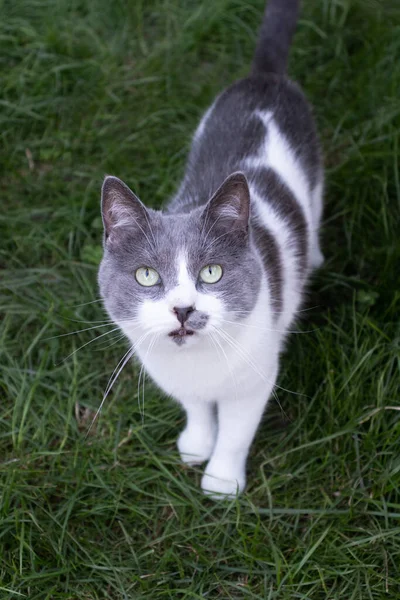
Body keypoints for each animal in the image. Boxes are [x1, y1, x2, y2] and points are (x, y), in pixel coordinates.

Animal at [98, 0, 324, 496]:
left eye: (211, 273)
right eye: (147, 275)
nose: (183, 308)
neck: (197, 363)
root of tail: (263, 79)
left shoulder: (256, 379)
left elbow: (236, 433)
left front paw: (221, 483)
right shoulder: (176, 378)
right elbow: (197, 410)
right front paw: (195, 446)